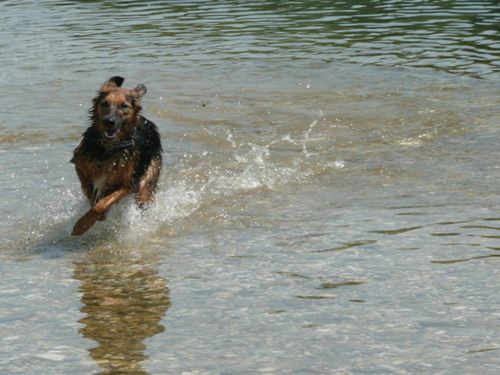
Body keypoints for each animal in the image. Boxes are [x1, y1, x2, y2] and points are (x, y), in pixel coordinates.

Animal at [70, 76, 162, 235]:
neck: (107, 149)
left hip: (146, 180)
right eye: (105, 103)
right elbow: (90, 192)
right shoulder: (80, 165)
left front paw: (82, 225)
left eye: (124, 106)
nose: (109, 121)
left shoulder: (127, 184)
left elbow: (101, 205)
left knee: (143, 195)